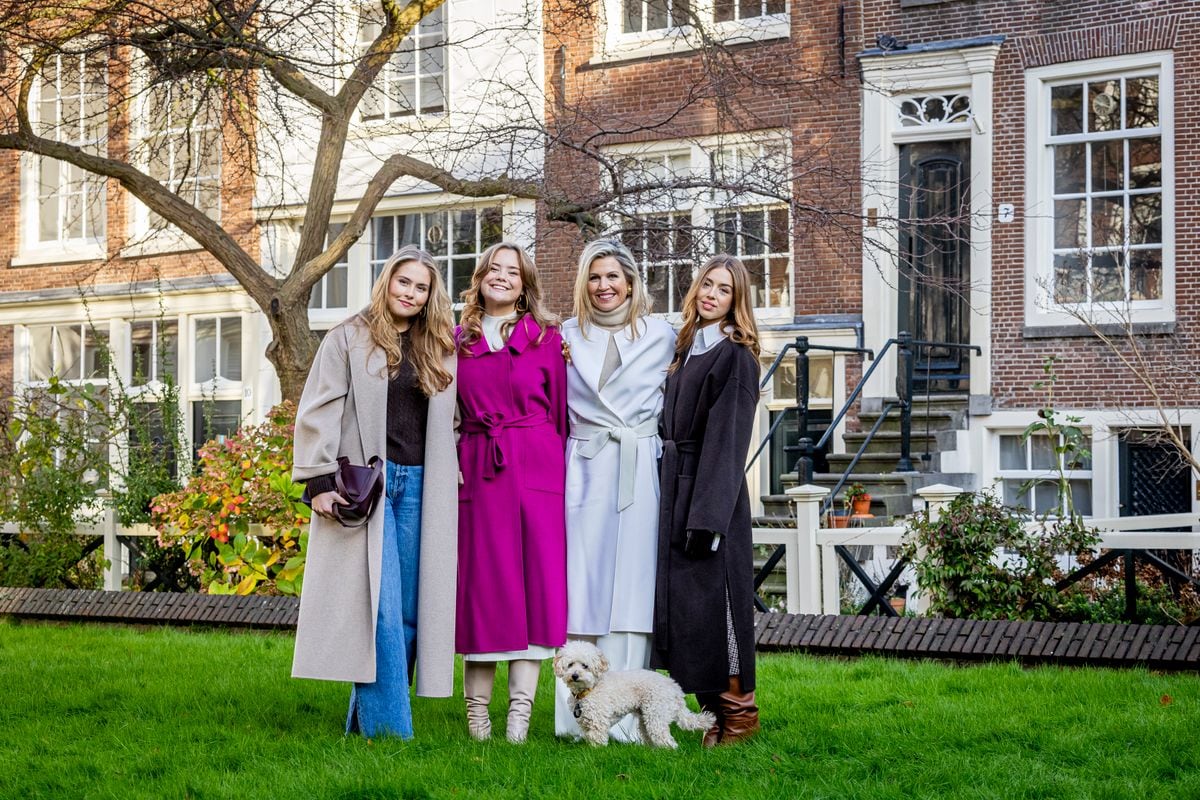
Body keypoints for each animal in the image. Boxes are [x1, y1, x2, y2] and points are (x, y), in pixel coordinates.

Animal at [552, 642, 710, 748]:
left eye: (585, 666)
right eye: (570, 664)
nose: (574, 675)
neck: (589, 690)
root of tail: (674, 687)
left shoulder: (598, 721)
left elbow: (597, 740)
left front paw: (595, 753)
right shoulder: (585, 722)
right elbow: (588, 736)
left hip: (656, 715)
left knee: (667, 740)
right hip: (645, 718)